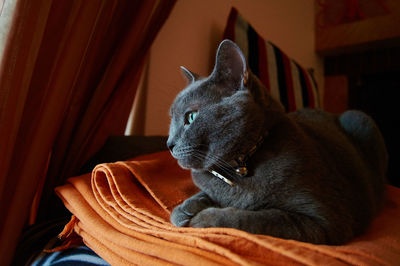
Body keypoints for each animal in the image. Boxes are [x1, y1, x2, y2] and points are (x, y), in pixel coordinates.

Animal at [166, 39, 388, 245]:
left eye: (191, 117)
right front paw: (184, 209)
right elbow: (204, 194)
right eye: (172, 119)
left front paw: (203, 218)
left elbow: (256, 219)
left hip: (360, 118)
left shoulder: (326, 220)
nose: (169, 144)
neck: (239, 167)